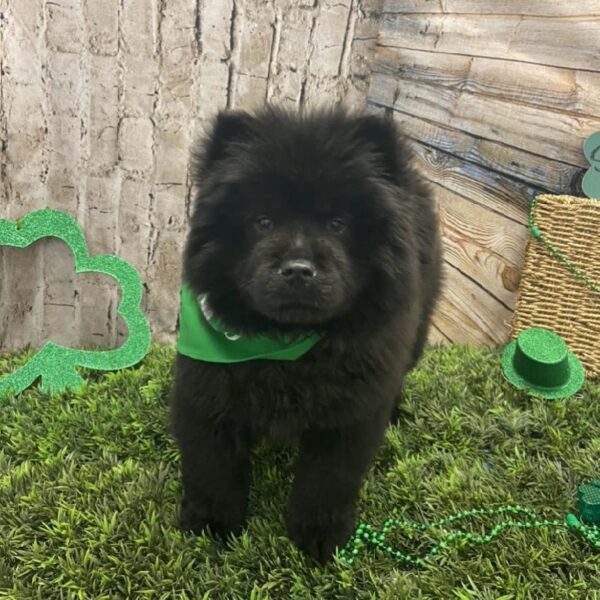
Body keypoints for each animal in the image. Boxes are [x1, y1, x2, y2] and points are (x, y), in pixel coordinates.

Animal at [171, 106, 442, 564]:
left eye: (338, 224)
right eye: (262, 221)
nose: (298, 268)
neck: (286, 346)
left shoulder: (350, 408)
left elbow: (328, 480)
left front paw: (320, 537)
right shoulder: (208, 388)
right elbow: (212, 467)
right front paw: (212, 525)